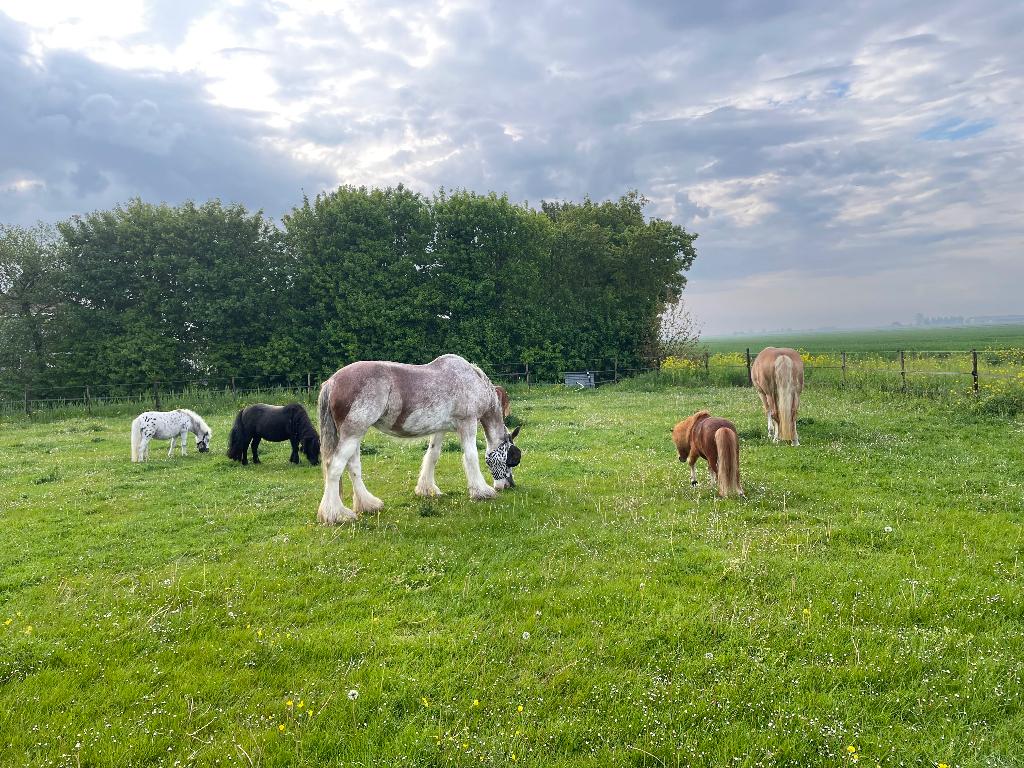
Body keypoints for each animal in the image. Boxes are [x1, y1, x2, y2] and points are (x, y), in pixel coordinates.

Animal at [316, 354, 522, 524]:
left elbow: (433, 456)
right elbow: (471, 457)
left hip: (355, 435)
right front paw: (481, 491)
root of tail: (332, 382)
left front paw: (427, 489)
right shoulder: (468, 423)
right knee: (334, 467)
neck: (470, 379)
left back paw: (367, 504)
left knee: (353, 467)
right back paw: (336, 514)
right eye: (512, 458)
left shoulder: (440, 429)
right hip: (352, 433)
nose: (509, 485)